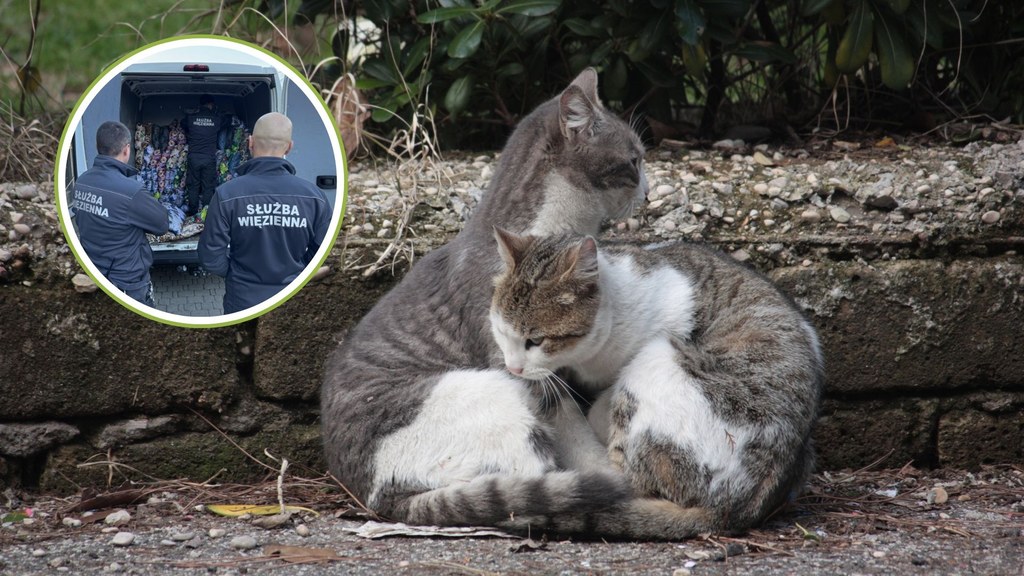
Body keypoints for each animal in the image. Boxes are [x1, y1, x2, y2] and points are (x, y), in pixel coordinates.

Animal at [489, 226, 823, 532]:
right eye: (502, 331)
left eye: (536, 341)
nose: (513, 368)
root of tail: (730, 511)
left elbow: (600, 409)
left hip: (657, 360)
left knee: (622, 479)